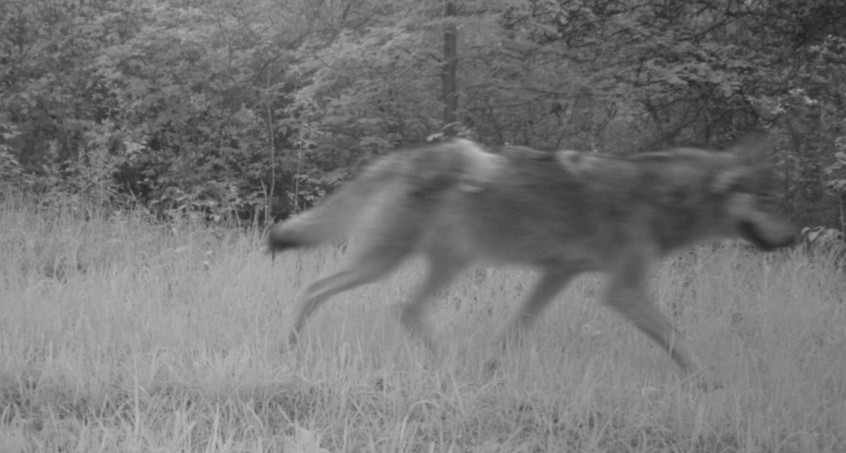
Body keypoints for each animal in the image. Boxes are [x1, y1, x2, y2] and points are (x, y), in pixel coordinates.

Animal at [268, 137, 800, 382]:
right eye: (767, 201)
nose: (793, 237)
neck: (663, 199)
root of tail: (408, 156)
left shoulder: (557, 273)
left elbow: (515, 329)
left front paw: (488, 370)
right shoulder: (621, 289)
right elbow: (678, 338)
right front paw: (710, 383)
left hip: (443, 264)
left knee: (404, 309)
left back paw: (446, 364)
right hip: (388, 262)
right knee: (316, 289)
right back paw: (286, 349)